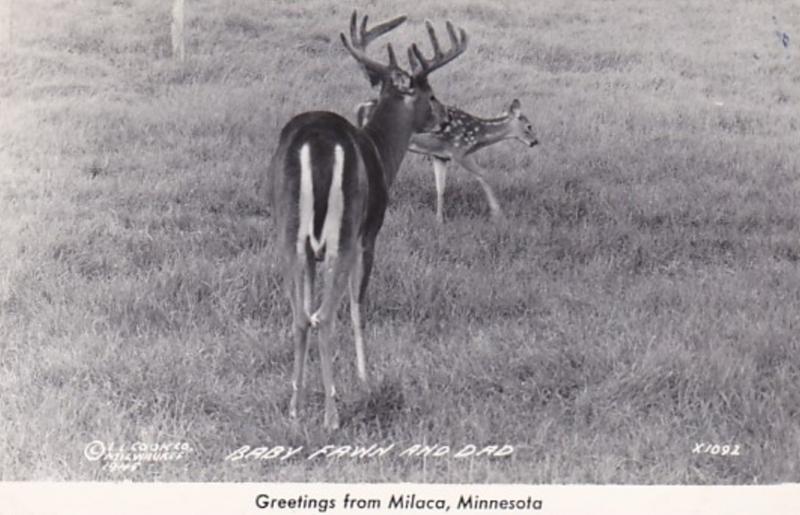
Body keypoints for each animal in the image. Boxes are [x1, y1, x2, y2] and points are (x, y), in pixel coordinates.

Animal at [268, 12, 468, 432]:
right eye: (430, 94)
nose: (445, 118)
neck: (381, 151)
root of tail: (317, 142)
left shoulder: (311, 250)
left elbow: (308, 309)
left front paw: (304, 393)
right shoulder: (370, 233)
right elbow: (358, 305)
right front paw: (364, 377)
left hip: (288, 231)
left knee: (300, 316)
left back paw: (294, 408)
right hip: (344, 230)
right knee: (325, 316)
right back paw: (332, 415)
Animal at [354, 99, 536, 224]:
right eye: (529, 126)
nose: (535, 142)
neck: (478, 135)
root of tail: (360, 107)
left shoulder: (440, 156)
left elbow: (440, 187)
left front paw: (439, 219)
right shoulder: (459, 151)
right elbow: (484, 174)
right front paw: (499, 215)